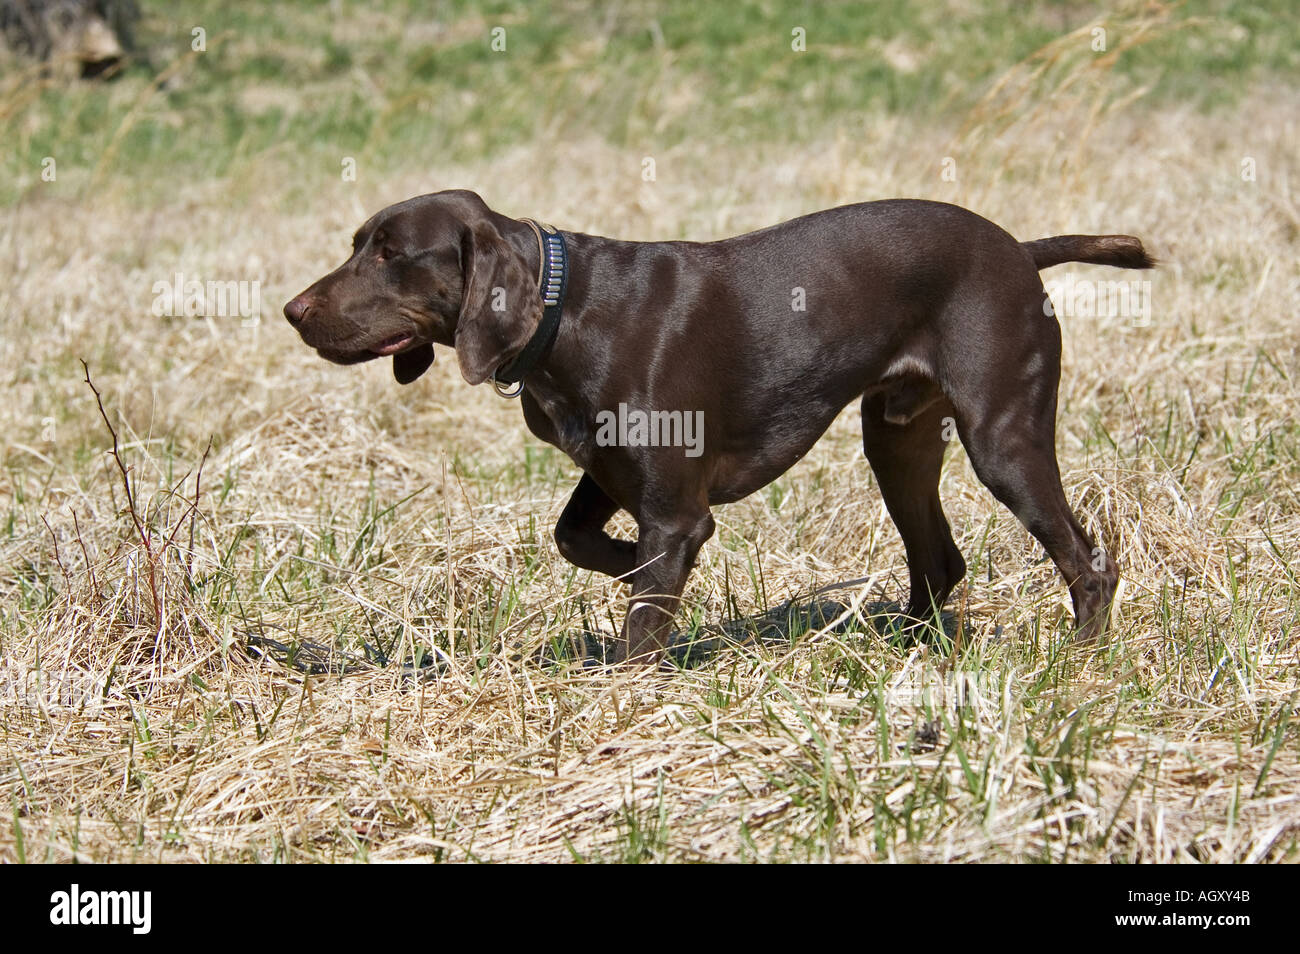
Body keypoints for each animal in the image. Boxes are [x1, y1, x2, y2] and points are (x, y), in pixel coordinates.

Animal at [287, 192, 1159, 665]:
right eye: (358, 245)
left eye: (392, 254)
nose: (293, 310)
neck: (562, 309)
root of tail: (1021, 250)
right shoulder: (613, 474)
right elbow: (578, 541)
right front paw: (629, 576)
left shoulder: (672, 507)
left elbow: (645, 615)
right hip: (896, 443)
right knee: (940, 562)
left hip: (1003, 440)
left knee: (1087, 561)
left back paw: (1080, 662)